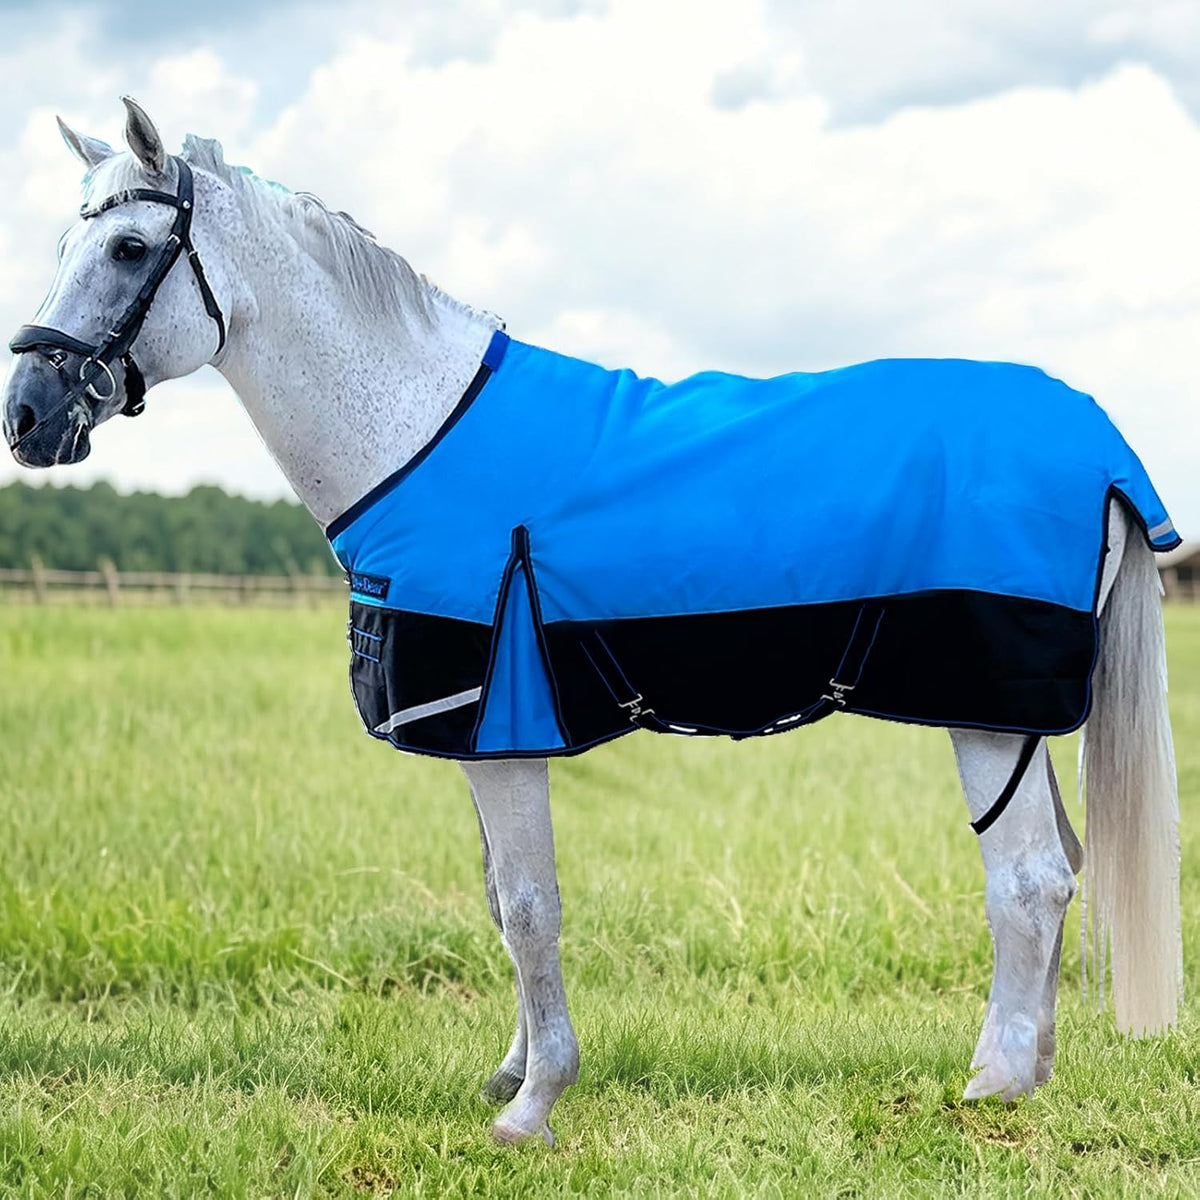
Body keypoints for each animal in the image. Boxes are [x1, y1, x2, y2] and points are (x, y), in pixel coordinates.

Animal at [2, 98, 1182, 1146]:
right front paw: (510, 1071)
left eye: (127, 244)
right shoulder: (476, 734)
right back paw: (1031, 1066)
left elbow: (531, 907)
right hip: (1016, 721)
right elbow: (497, 902)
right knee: (1061, 867)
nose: (27, 416)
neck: (420, 430)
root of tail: (1098, 438)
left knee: (1027, 881)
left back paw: (993, 1087)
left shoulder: (501, 729)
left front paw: (534, 1107)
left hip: (984, 712)